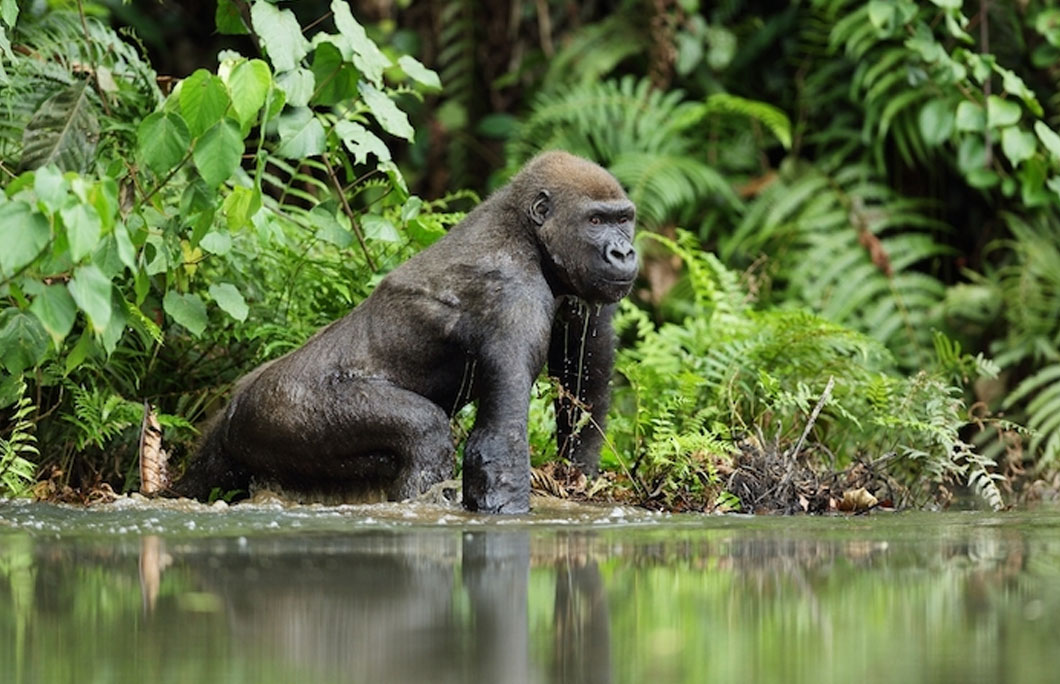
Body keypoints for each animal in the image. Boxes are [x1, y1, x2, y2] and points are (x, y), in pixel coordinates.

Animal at [173, 150, 635, 513]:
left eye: (624, 219)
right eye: (595, 220)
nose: (624, 252)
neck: (525, 230)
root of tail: (232, 407)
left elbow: (583, 383)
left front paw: (578, 474)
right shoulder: (514, 298)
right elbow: (497, 446)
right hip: (278, 410)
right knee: (424, 434)